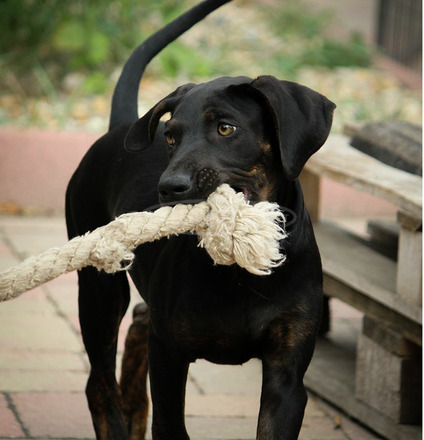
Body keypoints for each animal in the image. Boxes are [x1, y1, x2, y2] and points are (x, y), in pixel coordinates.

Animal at [66, 1, 336, 438]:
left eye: (226, 128)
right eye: (171, 137)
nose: (169, 187)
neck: (239, 273)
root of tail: (118, 127)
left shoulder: (288, 372)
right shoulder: (169, 354)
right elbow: (171, 425)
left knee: (138, 323)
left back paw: (134, 410)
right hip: (99, 289)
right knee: (98, 382)